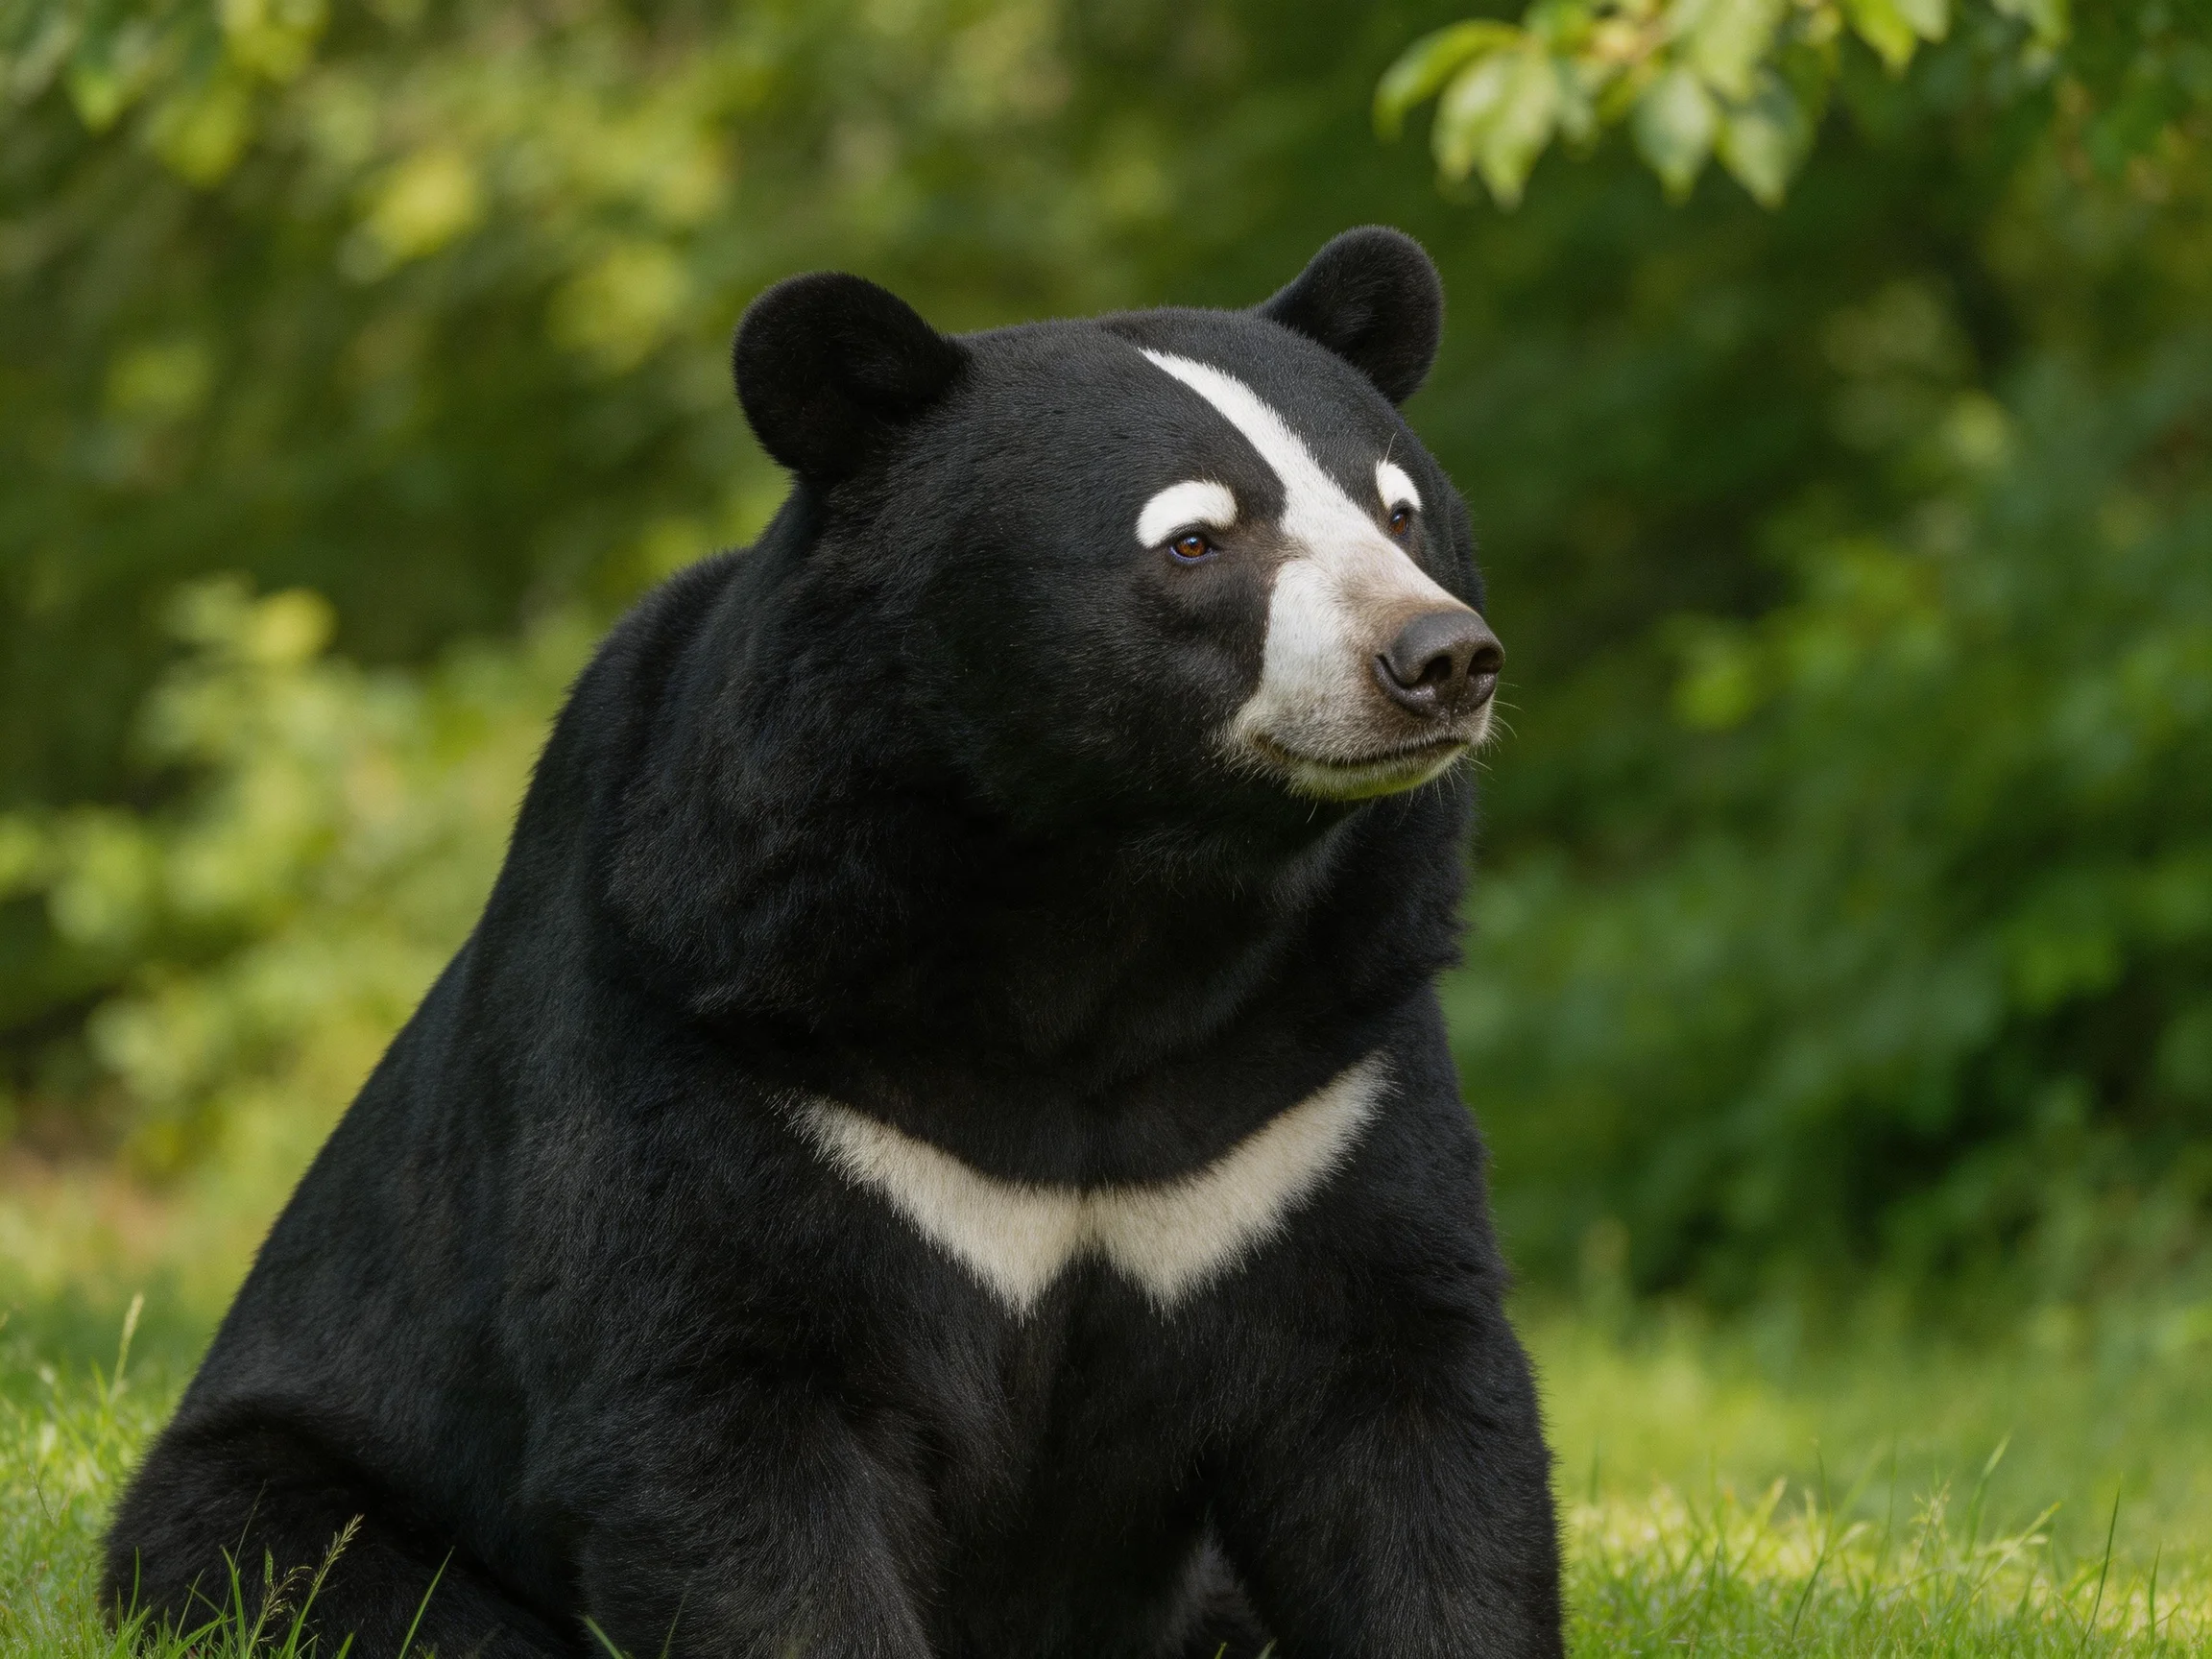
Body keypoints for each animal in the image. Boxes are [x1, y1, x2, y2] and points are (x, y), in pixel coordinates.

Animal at [103, 226, 1563, 1659]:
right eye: (1196, 541)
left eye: (1399, 510)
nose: (1438, 657)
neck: (1112, 890)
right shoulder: (719, 1015)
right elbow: (726, 1393)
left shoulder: (1318, 1079)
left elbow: (1401, 1409)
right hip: (301, 1462)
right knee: (304, 1565)